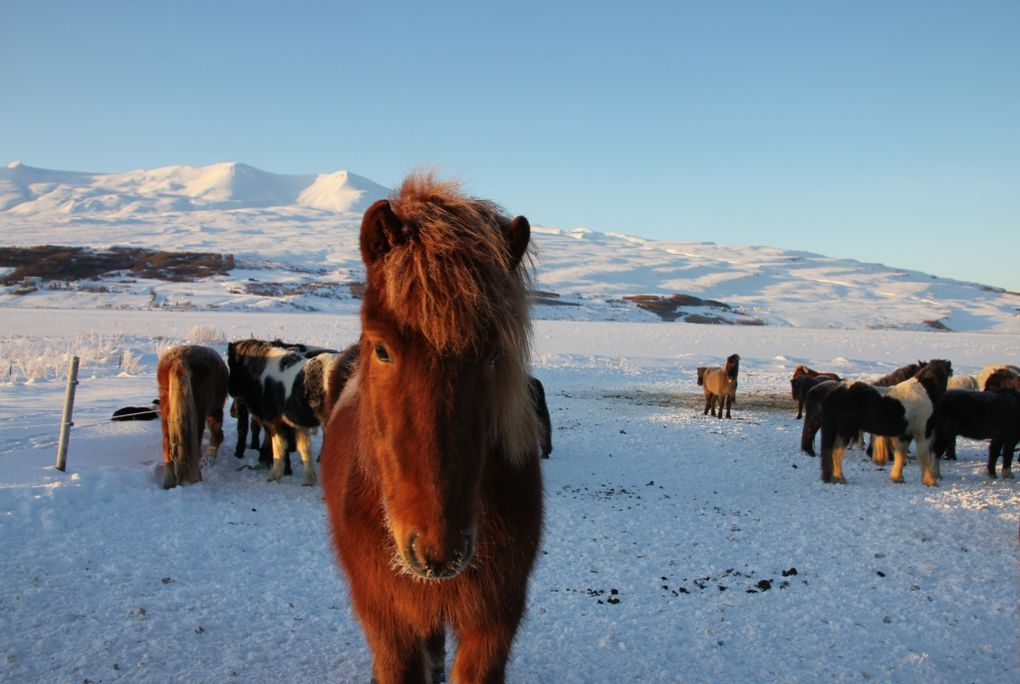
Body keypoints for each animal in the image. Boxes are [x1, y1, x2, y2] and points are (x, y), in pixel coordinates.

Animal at [155, 344, 227, 489]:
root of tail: (180, 360)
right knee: (196, 445)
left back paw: (169, 481)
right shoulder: (215, 410)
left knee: (166, 444)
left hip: (166, 412)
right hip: (200, 415)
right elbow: (217, 435)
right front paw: (209, 459)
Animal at [229, 340, 340, 485]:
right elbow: (304, 449)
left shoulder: (275, 422)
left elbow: (279, 447)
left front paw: (275, 474)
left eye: (230, 363)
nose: (231, 391)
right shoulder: (297, 423)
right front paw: (308, 479)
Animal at [816, 358, 950, 487]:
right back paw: (840, 479)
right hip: (845, 431)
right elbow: (924, 455)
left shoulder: (905, 435)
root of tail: (834, 393)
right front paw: (930, 481)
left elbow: (900, 454)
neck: (923, 392)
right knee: (836, 452)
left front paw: (897, 478)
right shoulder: (923, 433)